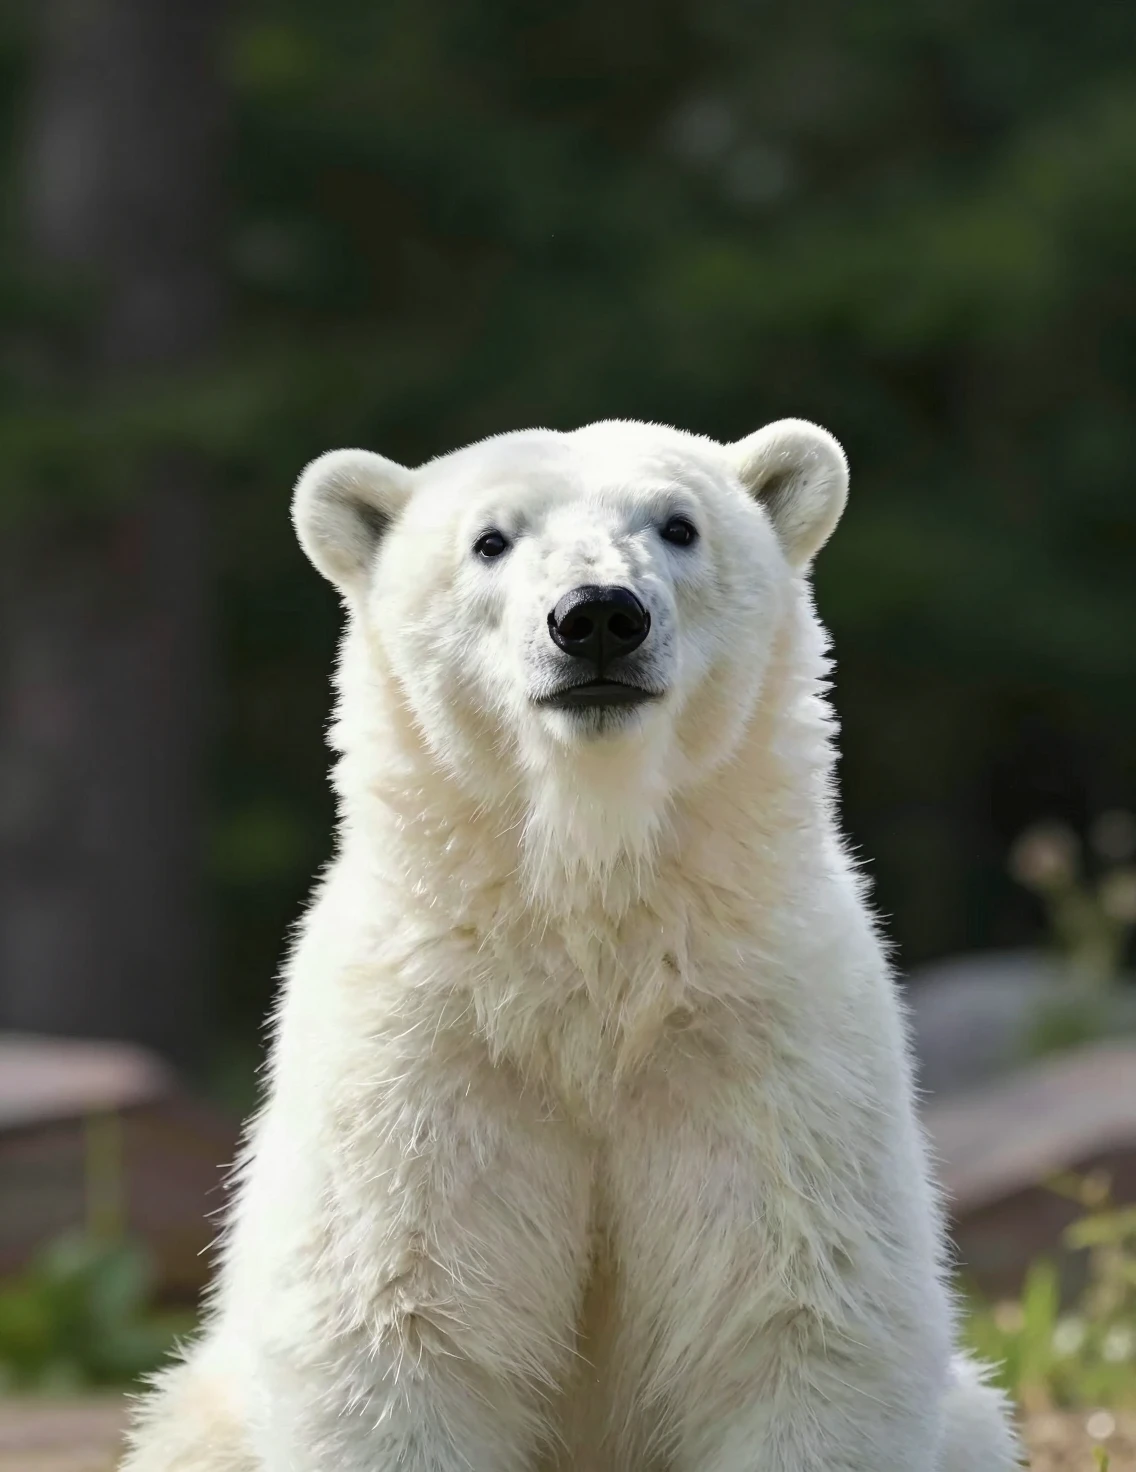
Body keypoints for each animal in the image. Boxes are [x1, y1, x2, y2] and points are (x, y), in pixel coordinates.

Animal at [122, 418, 1018, 1472]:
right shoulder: (428, 1048)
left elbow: (790, 1309)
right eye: (490, 540)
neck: (590, 922)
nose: (596, 617)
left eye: (679, 524)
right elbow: (399, 1316)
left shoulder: (765, 1034)